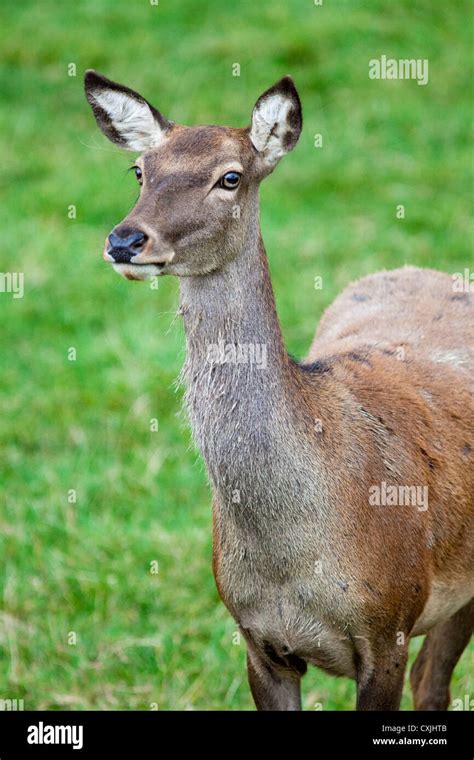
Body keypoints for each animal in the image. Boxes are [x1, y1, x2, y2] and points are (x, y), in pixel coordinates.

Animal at [85, 68, 474, 708]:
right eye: (140, 170)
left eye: (230, 177)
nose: (125, 240)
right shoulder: (256, 638)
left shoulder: (389, 626)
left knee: (433, 681)